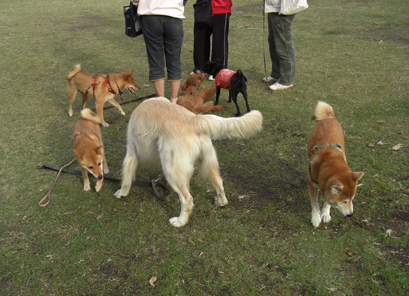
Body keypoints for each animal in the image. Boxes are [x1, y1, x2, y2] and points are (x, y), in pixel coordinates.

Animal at [113, 97, 262, 227]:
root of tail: (194, 119)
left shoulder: (131, 151)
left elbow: (126, 177)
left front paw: (121, 193)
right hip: (208, 163)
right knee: (219, 183)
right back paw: (221, 202)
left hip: (171, 169)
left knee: (187, 200)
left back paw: (180, 222)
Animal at [306, 100, 364, 228]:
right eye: (344, 201)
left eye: (352, 198)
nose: (350, 214)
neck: (330, 164)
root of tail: (329, 118)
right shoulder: (311, 183)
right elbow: (314, 203)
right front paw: (316, 217)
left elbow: (328, 202)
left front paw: (325, 213)